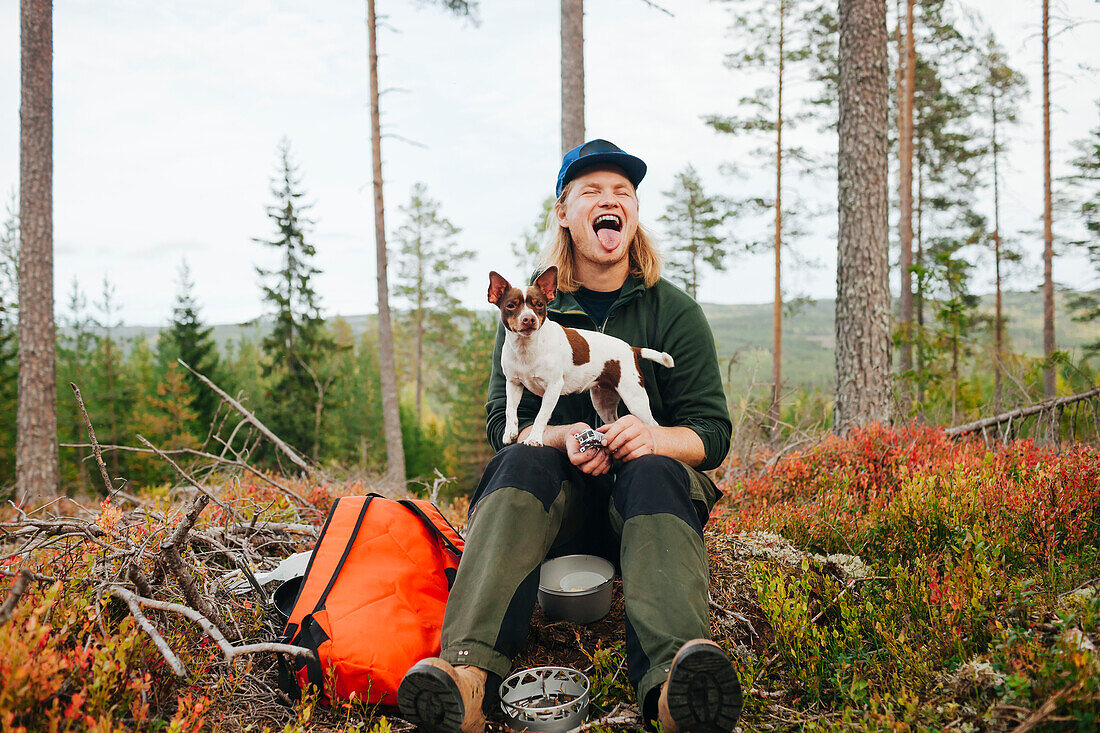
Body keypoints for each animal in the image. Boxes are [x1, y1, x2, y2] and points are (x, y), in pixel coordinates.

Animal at [488, 264, 673, 444]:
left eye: (539, 304)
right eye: (511, 306)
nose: (529, 318)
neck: (527, 348)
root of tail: (631, 349)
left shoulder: (553, 387)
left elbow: (541, 415)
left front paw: (534, 438)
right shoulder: (513, 384)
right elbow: (510, 410)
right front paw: (510, 432)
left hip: (634, 397)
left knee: (653, 424)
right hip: (603, 400)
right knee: (613, 420)